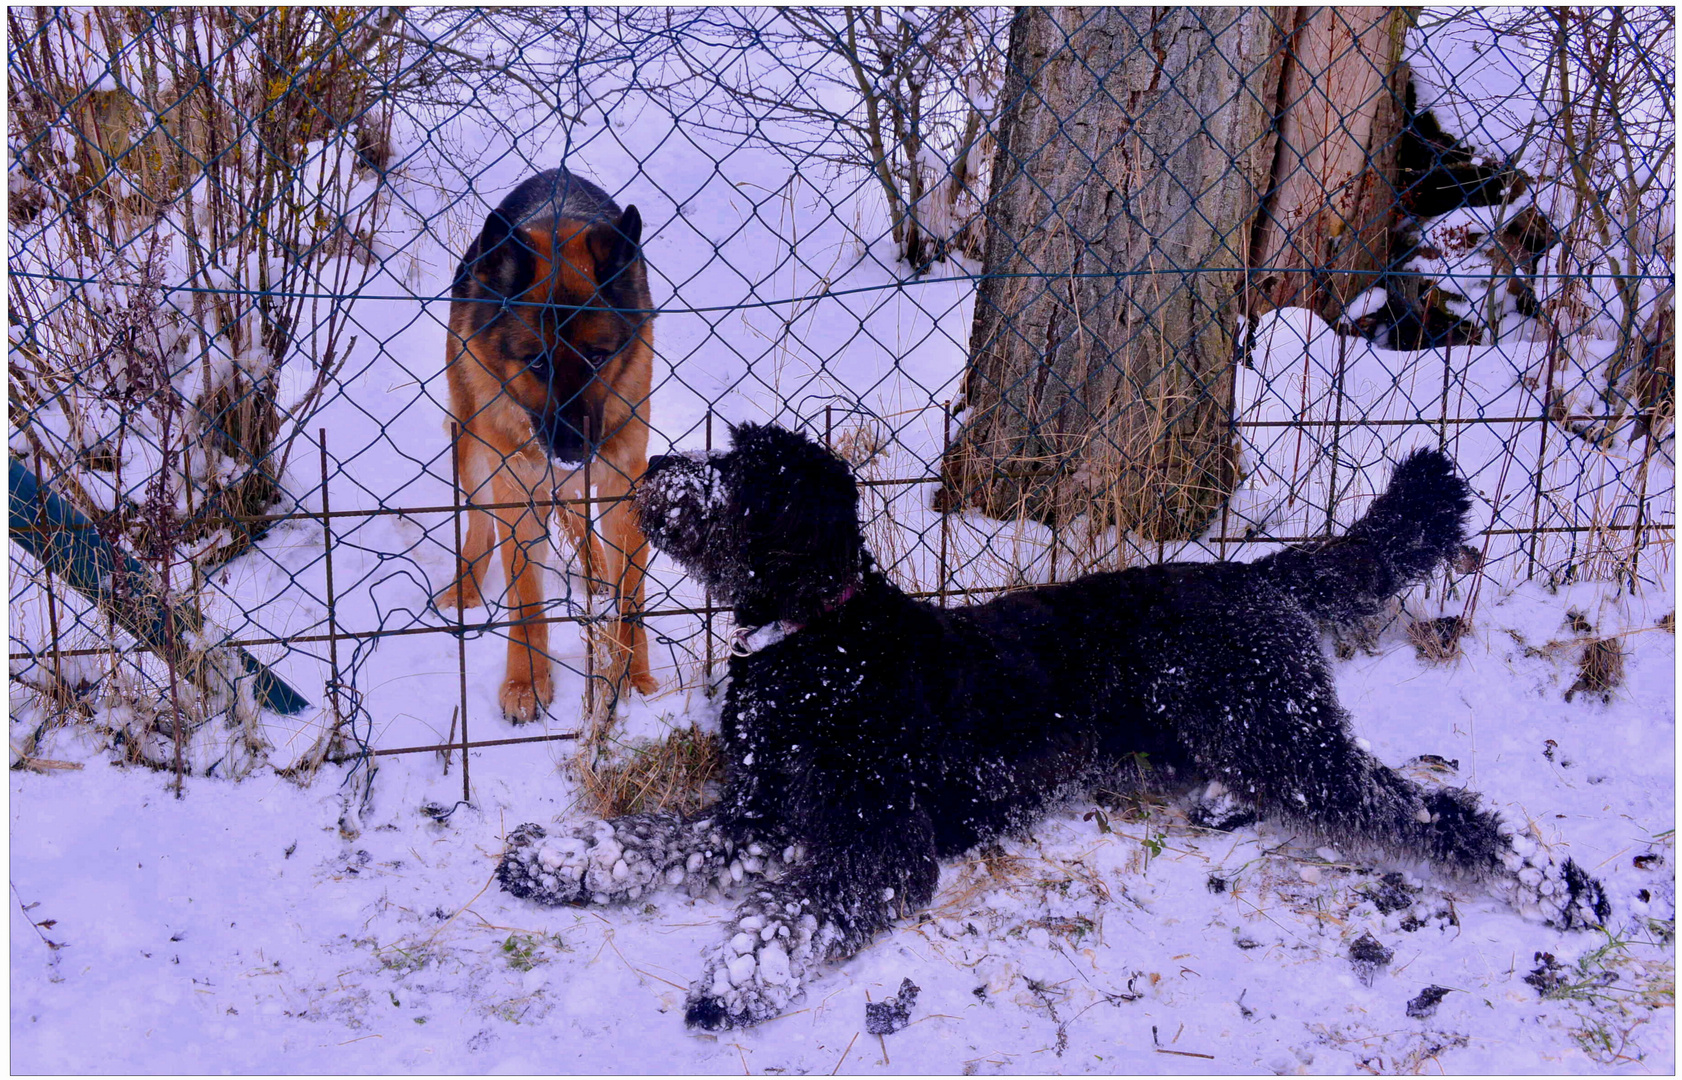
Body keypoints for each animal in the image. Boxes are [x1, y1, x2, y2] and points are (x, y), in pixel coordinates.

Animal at [433, 172, 655, 720]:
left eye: (597, 357)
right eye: (537, 364)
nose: (572, 450)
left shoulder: (622, 485)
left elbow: (630, 600)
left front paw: (633, 679)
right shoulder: (518, 491)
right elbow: (527, 605)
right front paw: (525, 685)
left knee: (573, 507)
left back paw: (594, 568)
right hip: (473, 446)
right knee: (480, 523)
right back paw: (466, 587)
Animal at [494, 420, 1601, 1022]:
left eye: (748, 474)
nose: (652, 469)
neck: (821, 637)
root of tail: (1254, 579)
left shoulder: (876, 845)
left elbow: (787, 914)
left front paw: (735, 980)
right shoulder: (760, 814)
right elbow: (649, 840)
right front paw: (556, 861)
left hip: (1278, 737)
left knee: (1429, 814)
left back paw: (1558, 884)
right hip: (1235, 735)